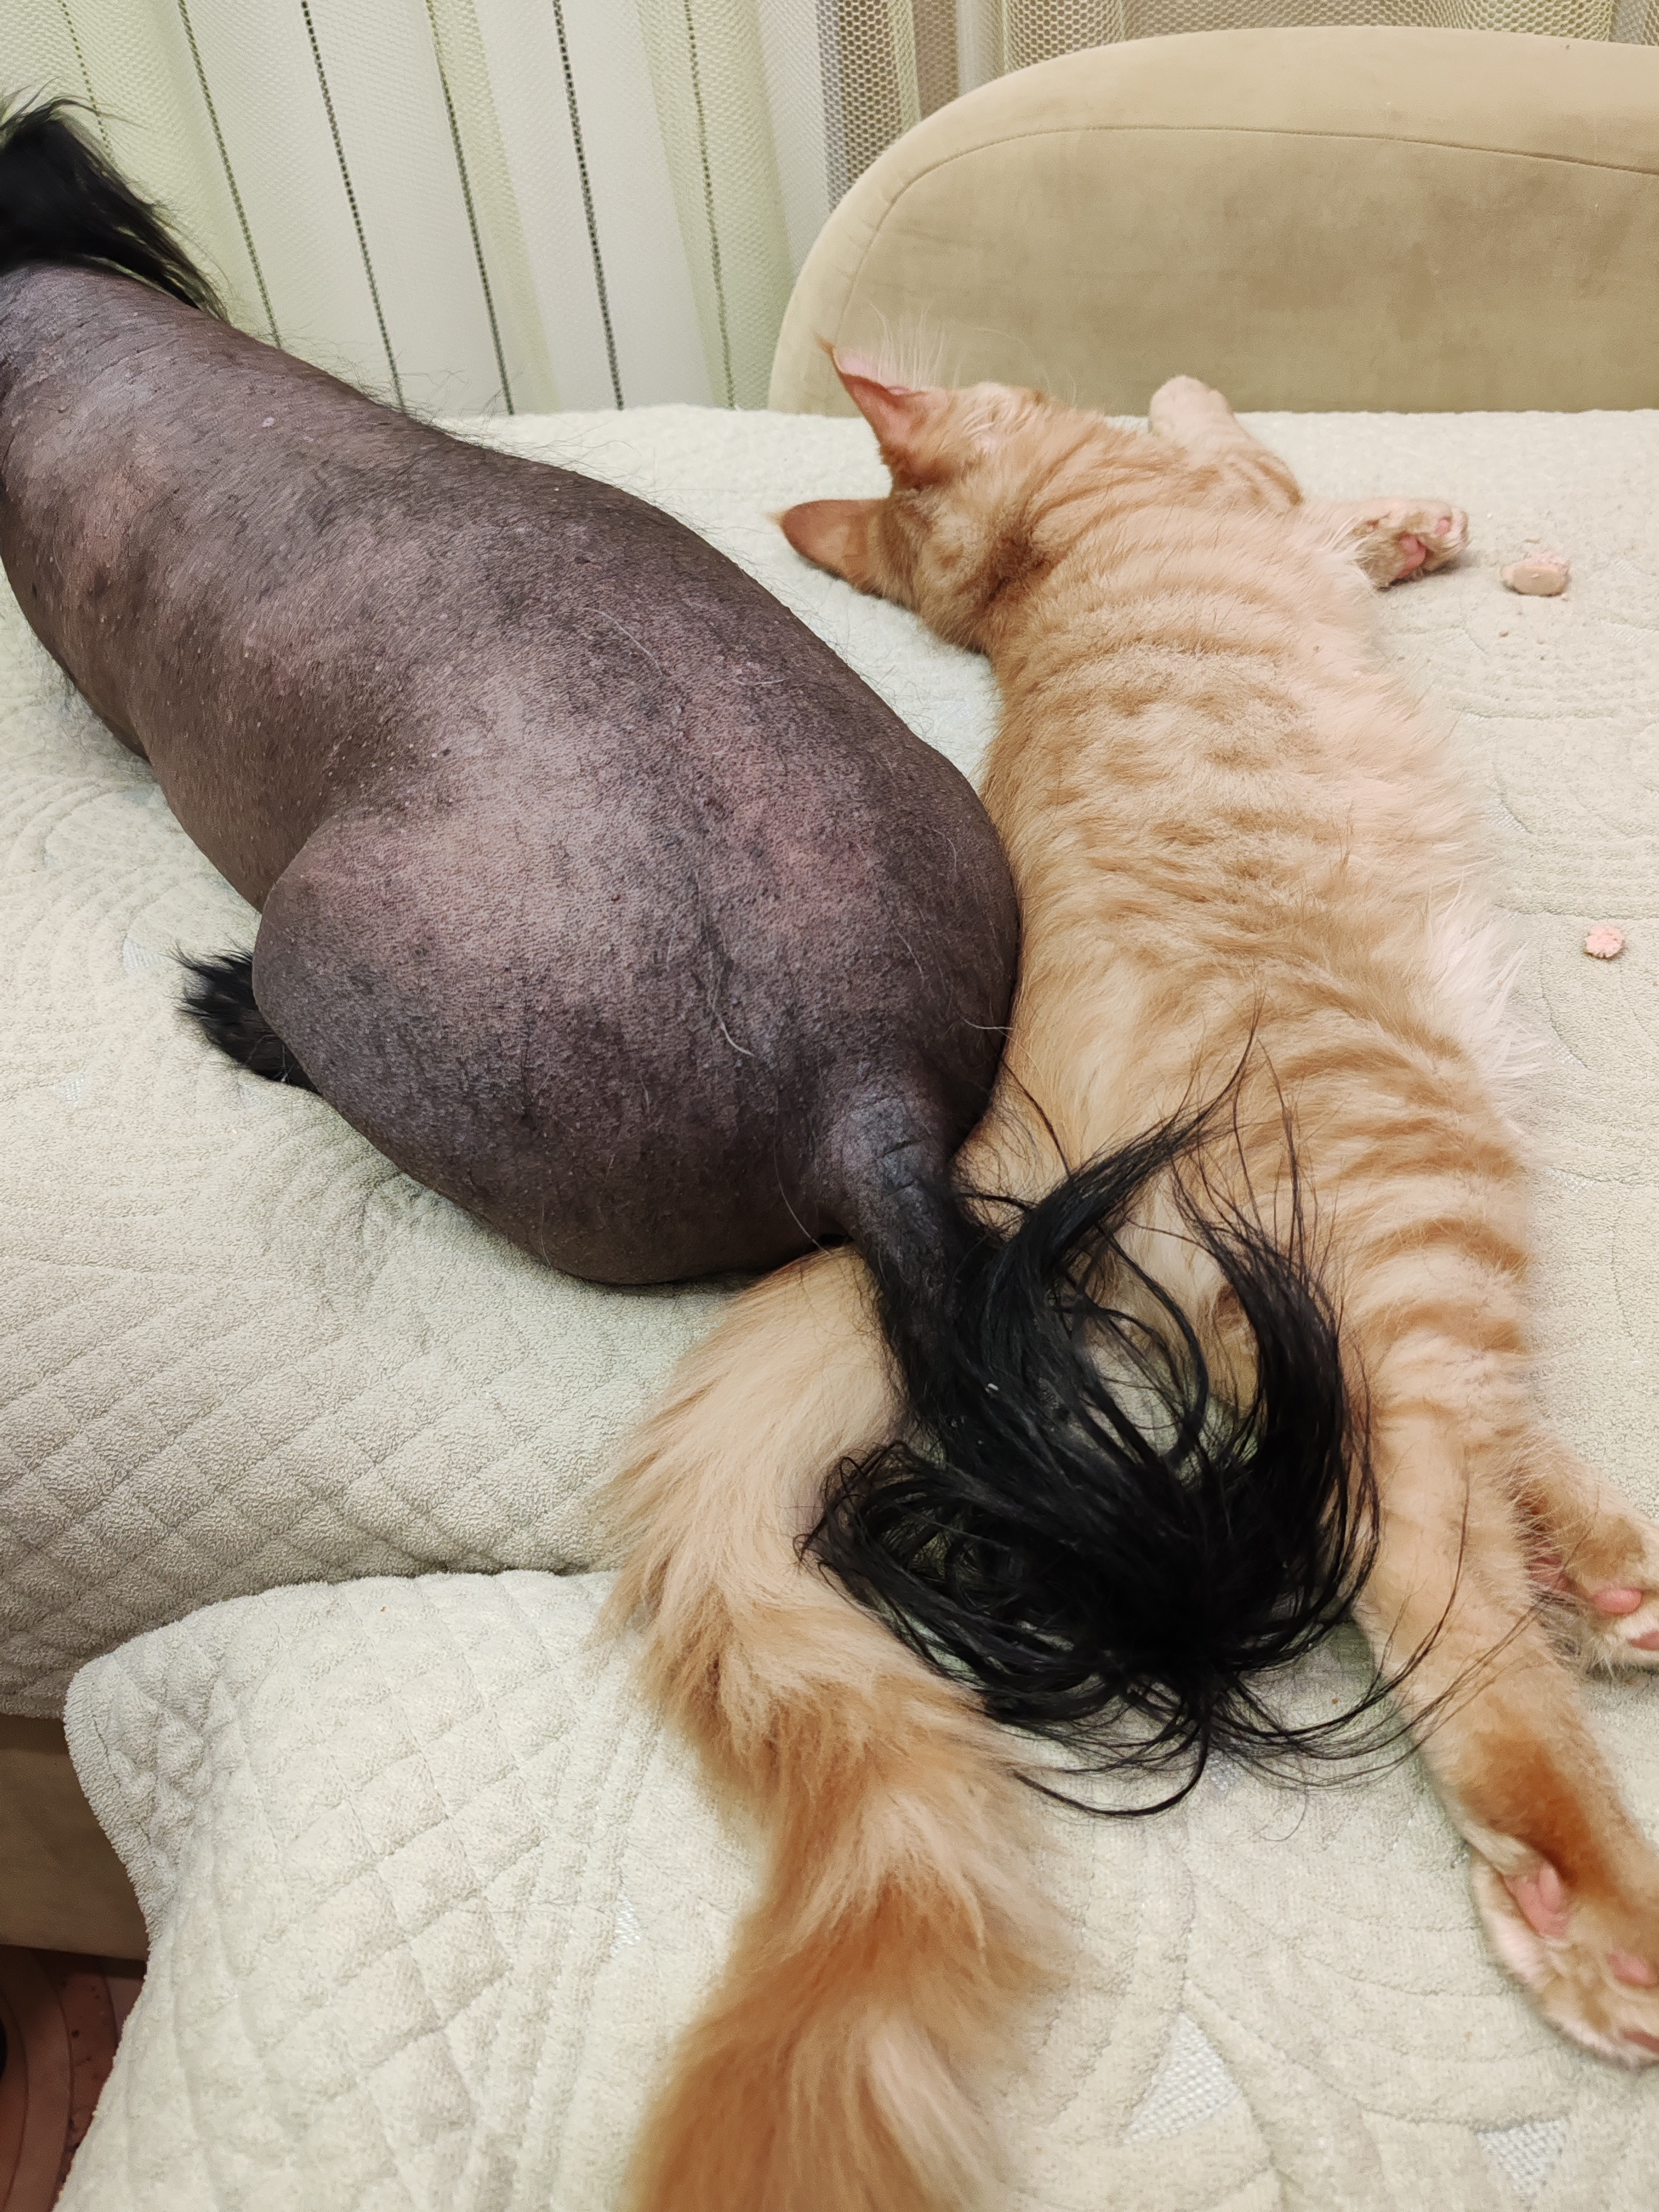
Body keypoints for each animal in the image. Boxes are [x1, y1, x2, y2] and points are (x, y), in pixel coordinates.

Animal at [605, 362, 1659, 2212]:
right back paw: (1594, 1911)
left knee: (1433, 1470)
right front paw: (1369, 501)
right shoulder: (1233, 480)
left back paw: (1599, 1576)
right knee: (1418, 1552)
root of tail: (996, 1119)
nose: (1021, 386)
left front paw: (1392, 522)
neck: (1039, 553)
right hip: (1417, 1199)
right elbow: (1233, 431)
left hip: (1357, 1278)